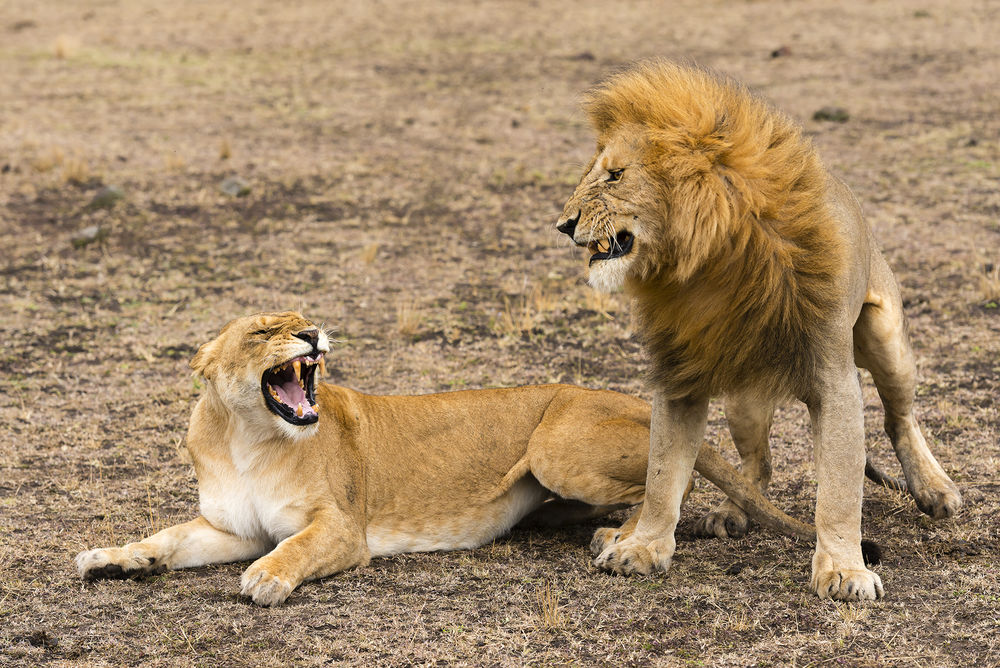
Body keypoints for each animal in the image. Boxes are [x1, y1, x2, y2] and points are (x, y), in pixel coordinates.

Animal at [76, 310, 828, 608]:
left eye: (302, 318)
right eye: (264, 331)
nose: (313, 333)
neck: (248, 438)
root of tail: (629, 396)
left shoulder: (342, 529)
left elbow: (292, 549)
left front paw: (266, 578)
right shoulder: (227, 528)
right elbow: (167, 538)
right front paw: (112, 559)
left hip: (555, 445)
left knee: (669, 488)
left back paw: (621, 539)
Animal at [556, 61, 960, 600]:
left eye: (616, 175)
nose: (563, 224)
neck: (710, 260)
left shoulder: (834, 378)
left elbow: (839, 488)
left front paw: (844, 569)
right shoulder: (679, 374)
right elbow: (662, 471)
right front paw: (641, 546)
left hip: (885, 336)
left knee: (899, 418)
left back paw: (935, 489)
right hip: (744, 400)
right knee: (757, 466)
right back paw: (725, 513)